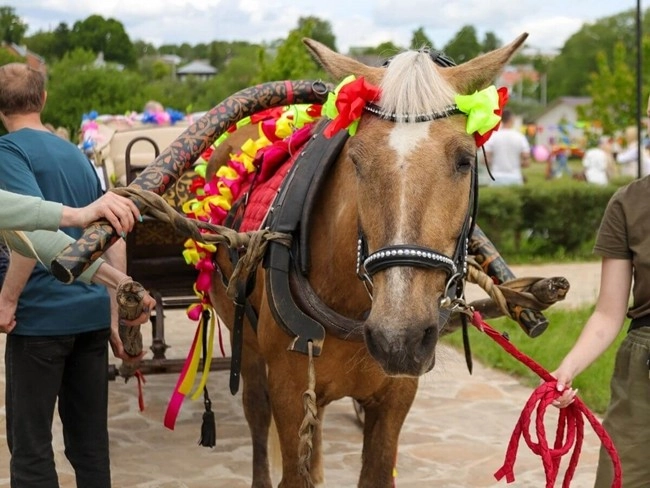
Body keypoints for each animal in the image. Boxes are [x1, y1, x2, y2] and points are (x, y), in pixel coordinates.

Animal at [202, 32, 528, 486]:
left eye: (464, 160)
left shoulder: (394, 396)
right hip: (246, 344)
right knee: (256, 411)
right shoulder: (288, 388)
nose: (398, 337)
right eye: (356, 160)